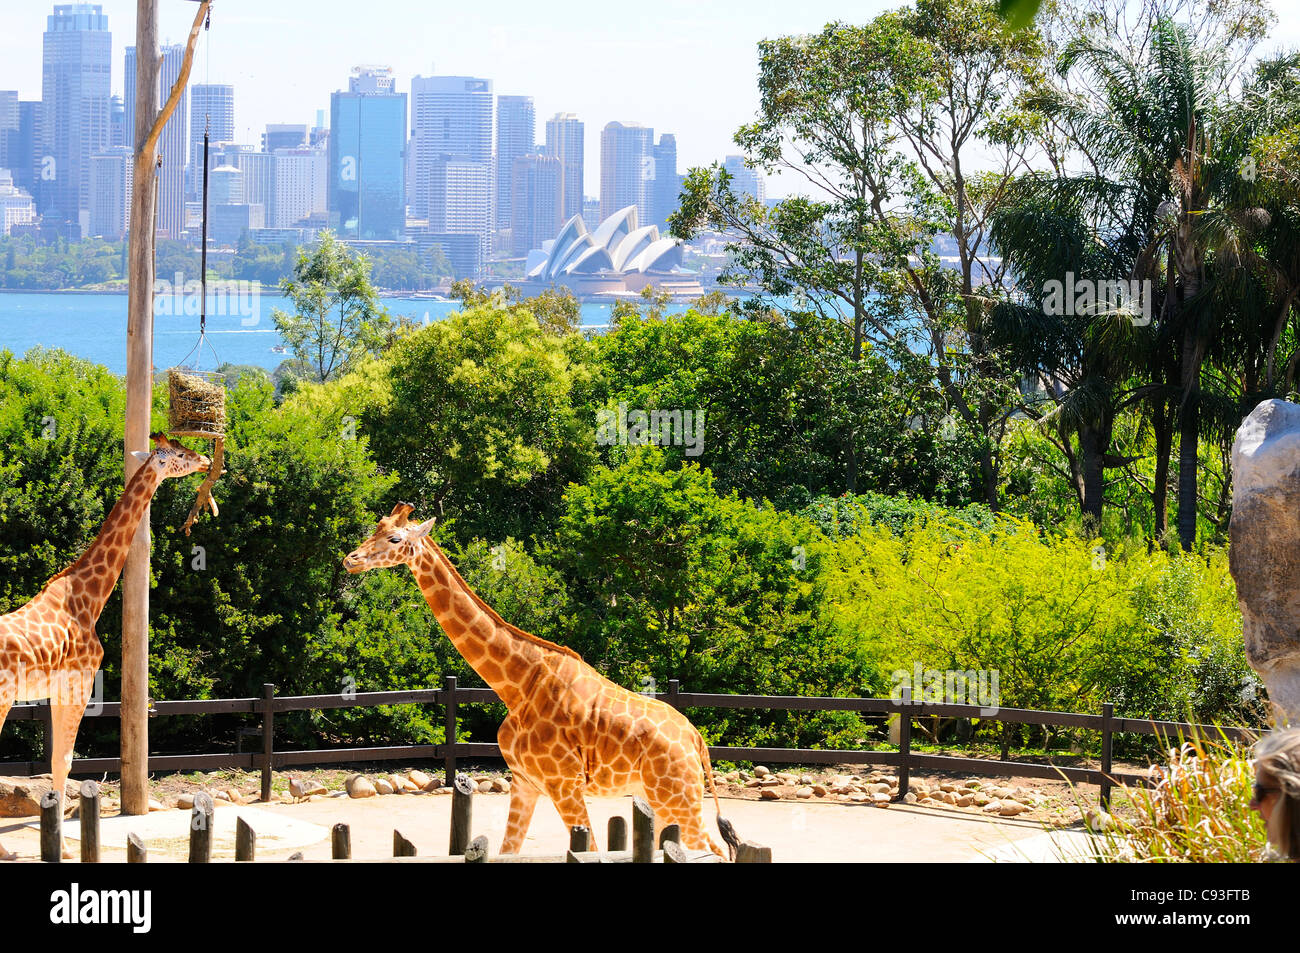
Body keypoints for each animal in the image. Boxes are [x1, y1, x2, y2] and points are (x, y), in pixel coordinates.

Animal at [340, 501, 738, 858]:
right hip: (662, 798)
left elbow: (590, 850)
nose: (351, 559)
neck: (516, 686)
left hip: (676, 796)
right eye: (375, 527)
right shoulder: (524, 783)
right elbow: (507, 850)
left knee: (715, 850)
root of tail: (697, 740)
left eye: (394, 538)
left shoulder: (564, 784)